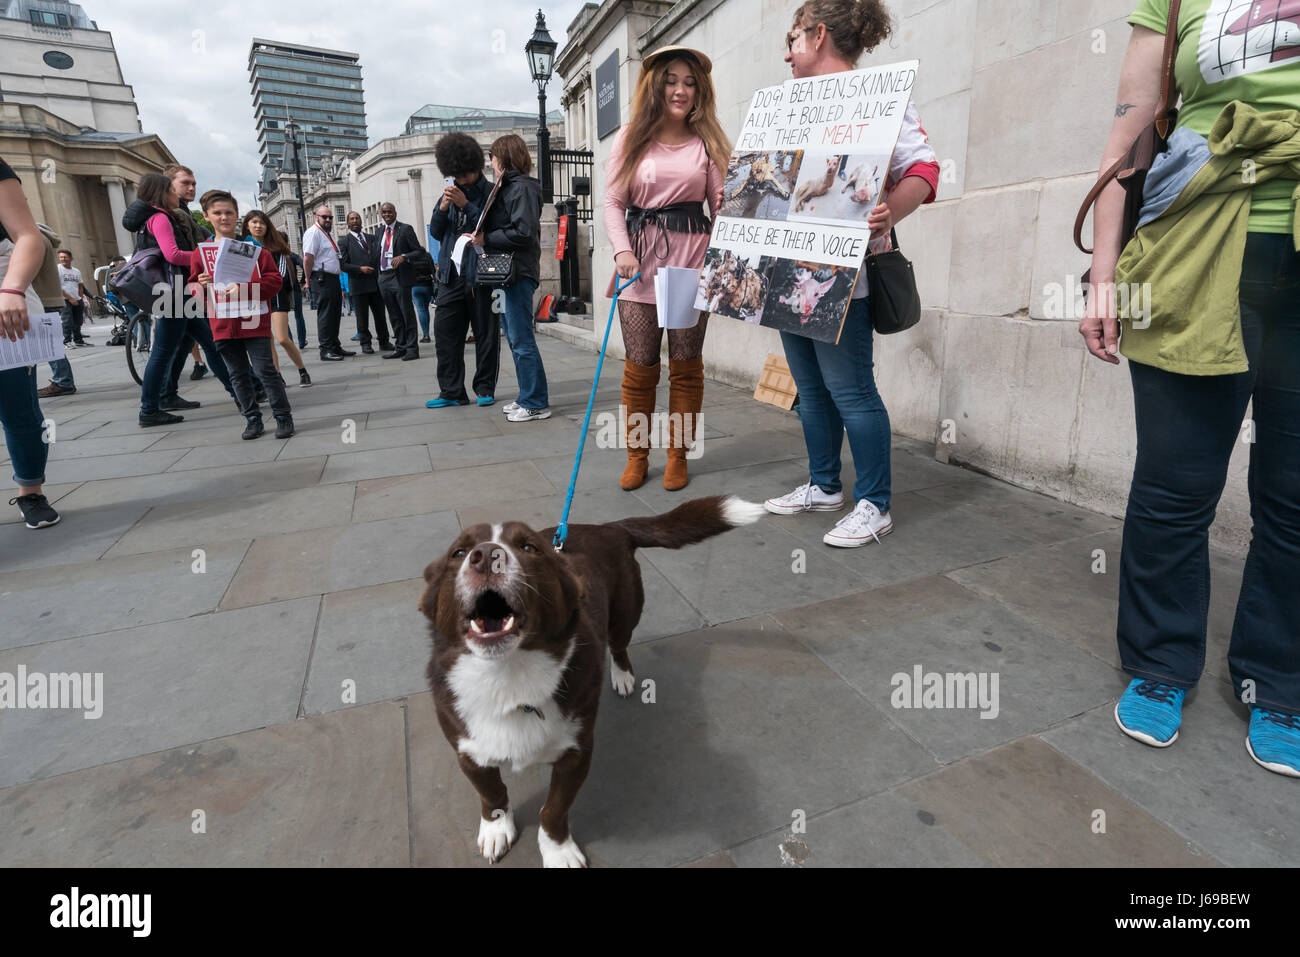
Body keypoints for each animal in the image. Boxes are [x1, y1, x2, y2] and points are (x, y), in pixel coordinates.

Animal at [418, 494, 759, 868]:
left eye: (529, 547)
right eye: (458, 553)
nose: (486, 556)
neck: (508, 677)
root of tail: (610, 528)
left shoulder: (576, 754)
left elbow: (553, 809)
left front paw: (559, 852)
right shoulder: (469, 753)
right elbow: (492, 795)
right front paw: (496, 831)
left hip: (626, 612)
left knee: (620, 643)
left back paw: (623, 676)